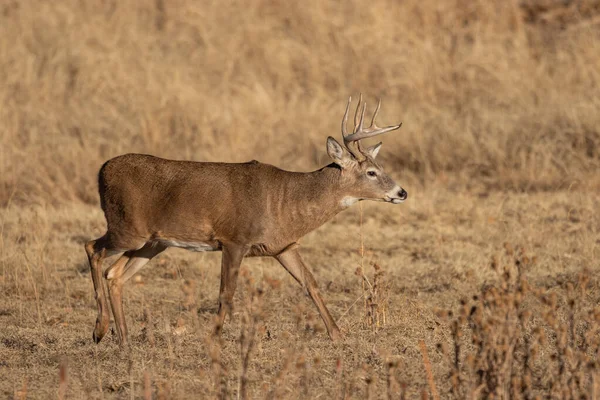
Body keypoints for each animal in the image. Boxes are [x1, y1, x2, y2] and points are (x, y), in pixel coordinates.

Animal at [84, 95, 408, 346]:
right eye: (371, 172)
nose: (401, 192)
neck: (285, 201)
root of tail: (101, 170)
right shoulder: (234, 239)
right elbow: (226, 293)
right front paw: (213, 338)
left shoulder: (283, 246)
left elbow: (311, 284)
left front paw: (338, 335)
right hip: (127, 227)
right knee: (92, 248)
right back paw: (100, 329)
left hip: (153, 242)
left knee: (115, 274)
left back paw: (123, 339)